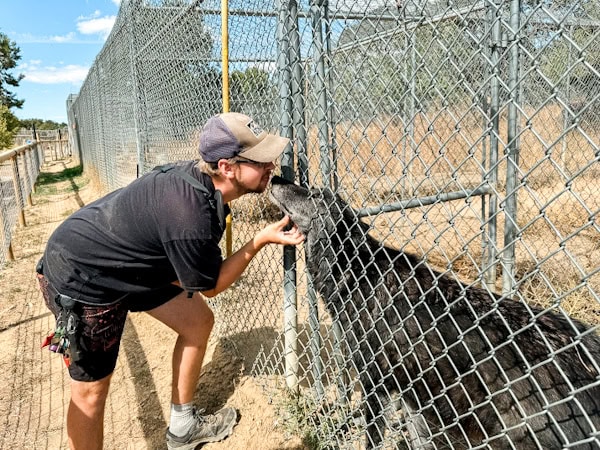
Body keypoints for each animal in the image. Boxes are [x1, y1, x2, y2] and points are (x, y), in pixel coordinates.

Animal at [270, 177, 596, 450]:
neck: (360, 274)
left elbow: (372, 437)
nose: (275, 177)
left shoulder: (375, 381)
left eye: (314, 194)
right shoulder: (410, 394)